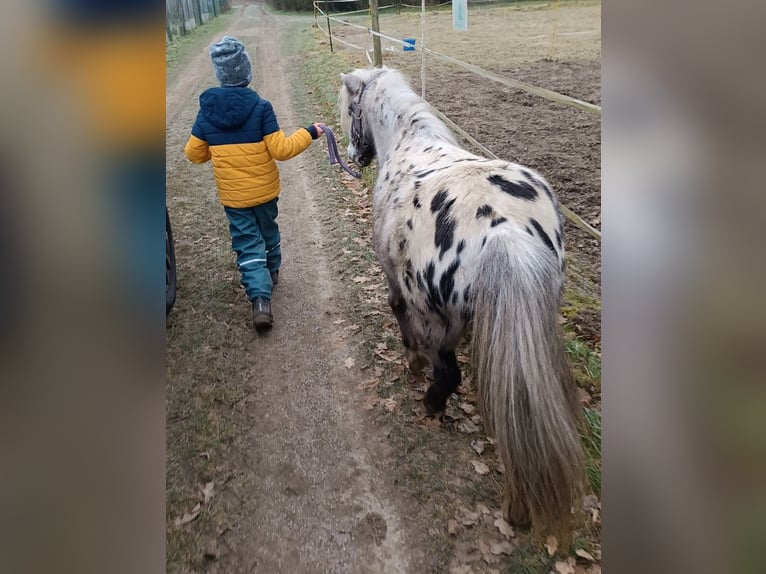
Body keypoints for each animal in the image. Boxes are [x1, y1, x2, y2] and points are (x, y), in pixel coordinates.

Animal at [342, 68, 588, 544]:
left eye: (350, 110)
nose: (352, 154)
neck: (408, 141)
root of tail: (503, 228)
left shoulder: (396, 281)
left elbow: (397, 310)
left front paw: (411, 361)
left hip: (439, 320)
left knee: (448, 375)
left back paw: (432, 404)